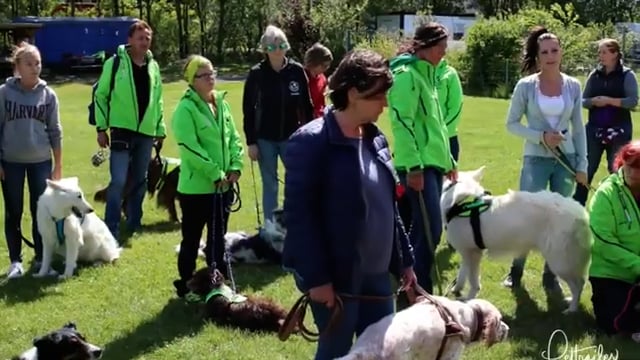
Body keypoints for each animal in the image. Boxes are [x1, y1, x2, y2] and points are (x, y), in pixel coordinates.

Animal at [442, 166, 592, 312]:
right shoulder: (467, 252)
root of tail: (581, 214)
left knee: (578, 284)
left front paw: (469, 299)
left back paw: (572, 309)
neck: (460, 204)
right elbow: (462, 274)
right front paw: (456, 289)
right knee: (581, 282)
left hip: (559, 263)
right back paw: (572, 302)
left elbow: (473, 281)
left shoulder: (473, 254)